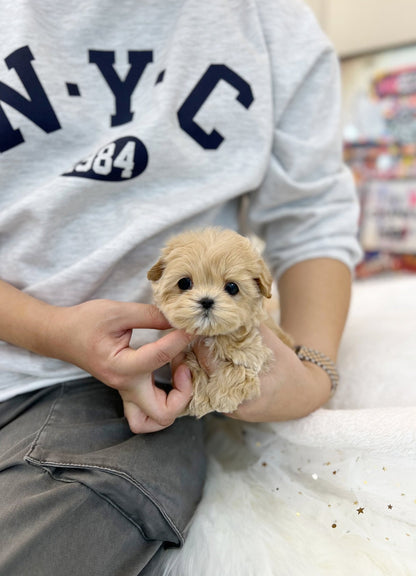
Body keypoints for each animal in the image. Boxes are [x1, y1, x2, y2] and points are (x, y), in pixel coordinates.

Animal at [146, 226, 292, 418]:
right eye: (184, 283)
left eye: (231, 287)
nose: (206, 301)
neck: (212, 334)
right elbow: (192, 366)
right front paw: (199, 400)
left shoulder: (258, 352)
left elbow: (239, 367)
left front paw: (223, 397)